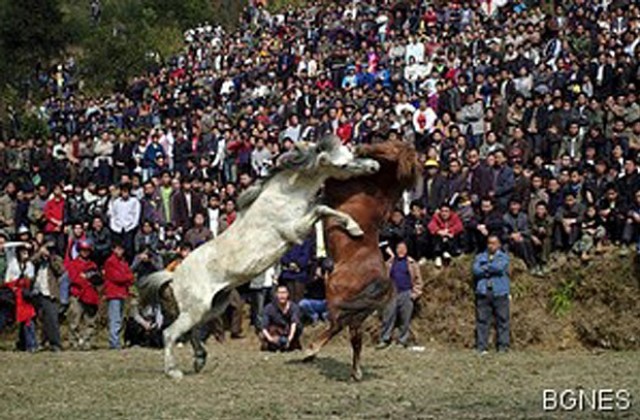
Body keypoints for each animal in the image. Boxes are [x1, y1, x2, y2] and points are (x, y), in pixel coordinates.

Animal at [139, 136, 380, 378]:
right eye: (344, 164)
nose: (374, 166)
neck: (285, 195)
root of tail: (174, 275)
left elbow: (325, 207)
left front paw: (354, 227)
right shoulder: (294, 230)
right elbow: (321, 208)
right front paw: (355, 228)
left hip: (213, 306)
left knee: (194, 332)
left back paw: (199, 359)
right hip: (196, 309)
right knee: (170, 333)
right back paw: (174, 371)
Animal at [304, 140, 420, 380]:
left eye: (390, 146)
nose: (360, 147)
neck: (371, 187)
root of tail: (383, 282)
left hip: (336, 293)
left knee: (336, 325)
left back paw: (311, 350)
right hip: (359, 312)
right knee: (354, 338)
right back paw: (356, 371)